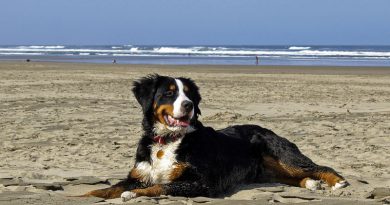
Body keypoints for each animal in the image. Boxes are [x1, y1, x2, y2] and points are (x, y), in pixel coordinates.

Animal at [84, 73, 348, 200]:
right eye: (169, 93)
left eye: (189, 94)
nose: (189, 105)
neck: (168, 141)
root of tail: (268, 129)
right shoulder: (139, 174)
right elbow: (107, 189)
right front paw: (84, 195)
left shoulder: (200, 182)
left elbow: (161, 186)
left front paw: (133, 195)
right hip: (270, 171)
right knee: (296, 177)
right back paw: (311, 183)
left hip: (285, 156)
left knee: (318, 166)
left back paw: (337, 182)